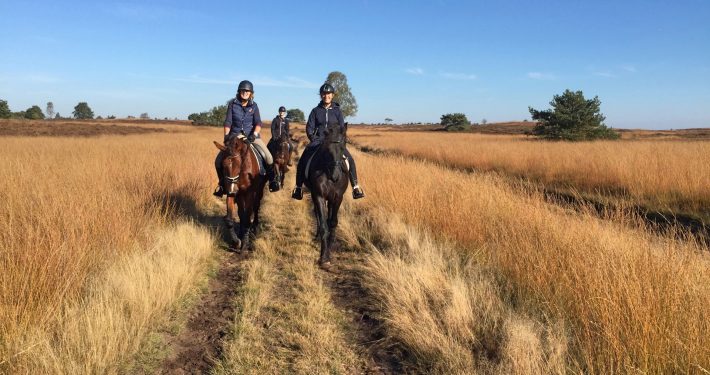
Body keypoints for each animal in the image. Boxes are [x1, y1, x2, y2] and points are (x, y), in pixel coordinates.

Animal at [306, 123, 350, 268]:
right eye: (327, 149)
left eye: (343, 146)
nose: (335, 176)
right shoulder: (318, 196)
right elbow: (324, 225)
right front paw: (324, 258)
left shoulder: (338, 198)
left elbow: (333, 222)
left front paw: (330, 248)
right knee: (317, 215)